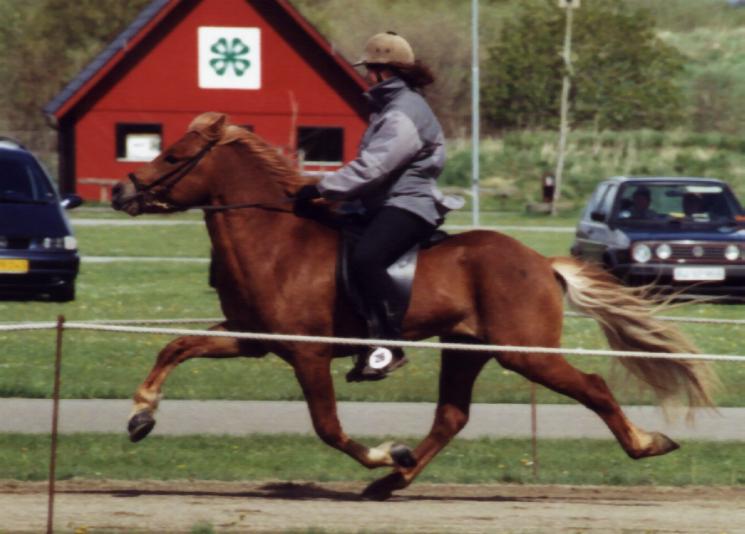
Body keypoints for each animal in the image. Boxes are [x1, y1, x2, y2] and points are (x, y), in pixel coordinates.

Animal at [110, 113, 716, 502]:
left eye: (175, 156)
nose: (121, 192)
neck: (276, 241)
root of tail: (540, 261)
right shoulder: (251, 338)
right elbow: (177, 345)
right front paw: (141, 414)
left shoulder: (308, 355)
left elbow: (328, 427)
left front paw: (384, 452)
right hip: (468, 349)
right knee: (451, 416)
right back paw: (392, 482)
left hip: (525, 353)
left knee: (592, 386)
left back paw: (646, 443)